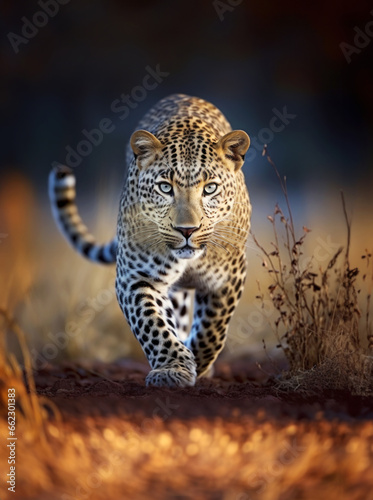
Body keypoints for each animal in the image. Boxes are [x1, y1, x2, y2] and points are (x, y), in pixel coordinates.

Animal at [49, 94, 251, 390]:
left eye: (210, 188)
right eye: (165, 187)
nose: (187, 230)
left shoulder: (228, 277)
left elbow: (212, 330)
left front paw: (197, 362)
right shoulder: (137, 277)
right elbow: (153, 324)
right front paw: (173, 368)